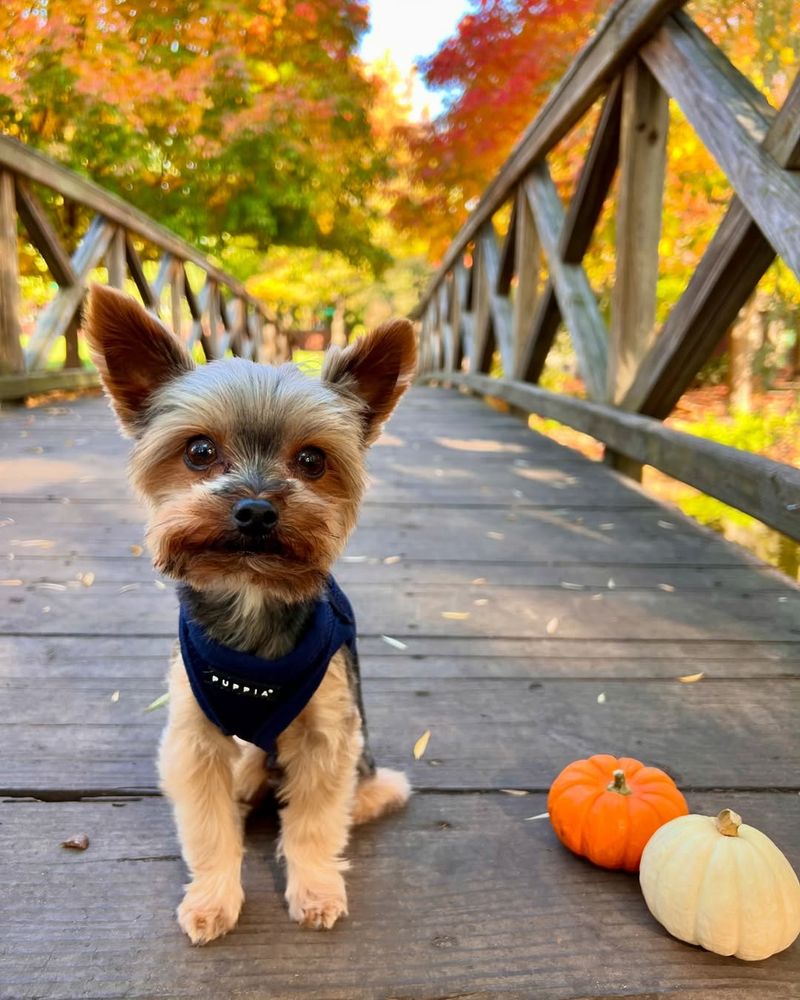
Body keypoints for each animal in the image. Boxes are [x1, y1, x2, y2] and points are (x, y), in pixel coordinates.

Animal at [84, 284, 416, 944]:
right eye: (199, 451)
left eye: (312, 461)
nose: (257, 510)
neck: (252, 595)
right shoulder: (197, 740)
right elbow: (209, 828)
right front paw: (213, 900)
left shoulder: (327, 735)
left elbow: (313, 822)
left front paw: (315, 890)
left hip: (364, 769)